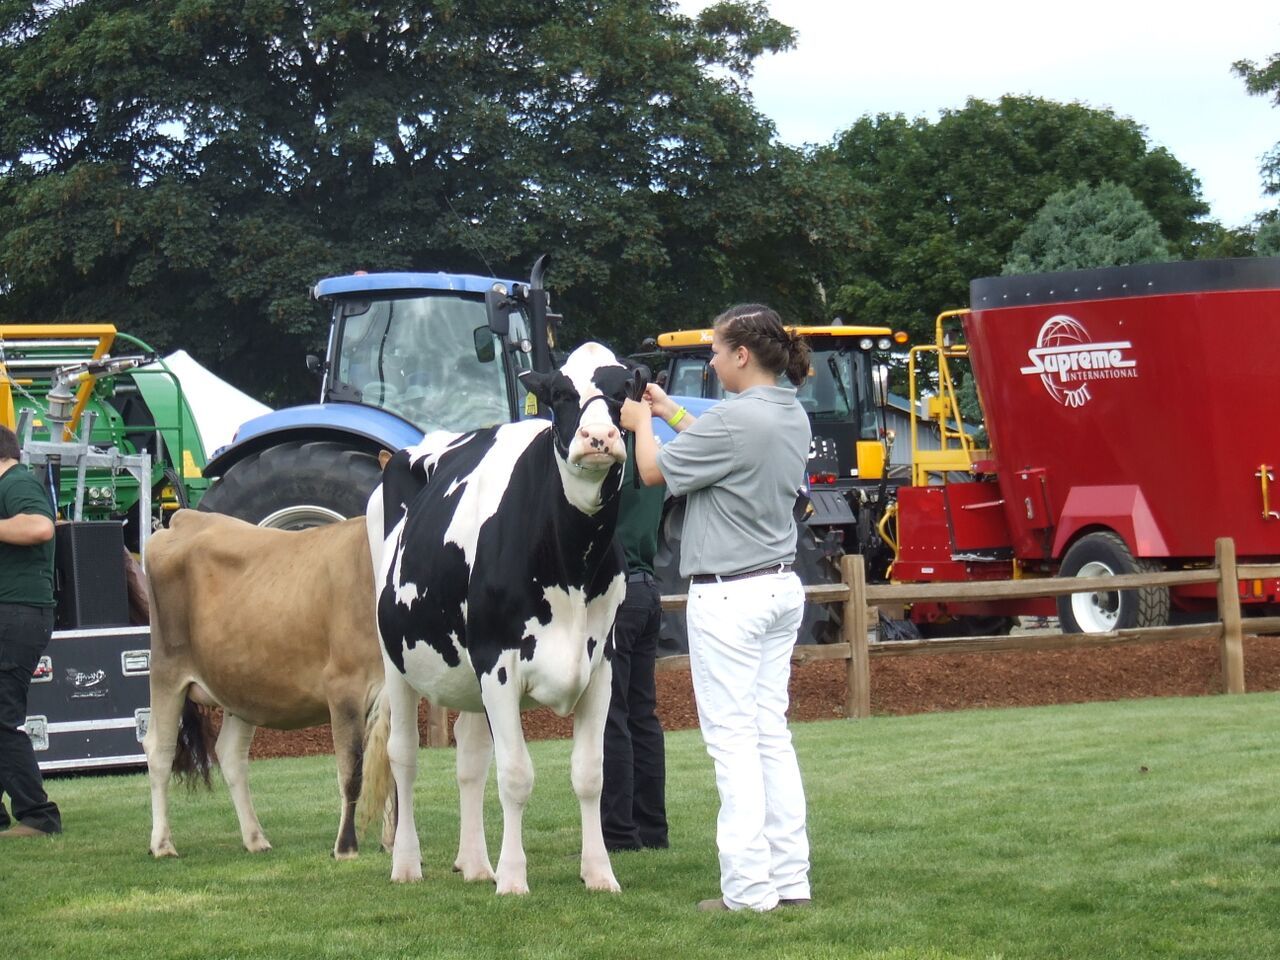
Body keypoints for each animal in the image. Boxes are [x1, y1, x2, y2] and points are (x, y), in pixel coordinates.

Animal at [360, 343, 640, 896]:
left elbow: (590, 774)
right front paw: (513, 879)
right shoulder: (498, 663)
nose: (599, 438)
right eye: (560, 395)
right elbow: (515, 775)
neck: (570, 560)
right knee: (404, 755)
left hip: (468, 676)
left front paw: (599, 873)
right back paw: (407, 864)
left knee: (469, 760)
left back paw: (474, 864)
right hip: (395, 657)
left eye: (624, 391)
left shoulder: (600, 666)